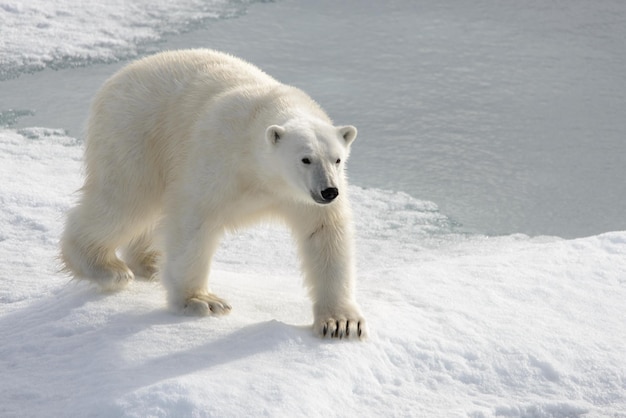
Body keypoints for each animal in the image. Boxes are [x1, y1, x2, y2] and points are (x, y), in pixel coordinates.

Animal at [59, 49, 366, 340]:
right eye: (305, 159)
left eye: (337, 159)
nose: (329, 191)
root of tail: (116, 78)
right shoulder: (220, 156)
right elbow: (194, 220)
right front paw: (202, 301)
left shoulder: (300, 197)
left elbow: (324, 232)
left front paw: (341, 323)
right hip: (135, 135)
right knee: (126, 201)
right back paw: (108, 268)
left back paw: (150, 261)